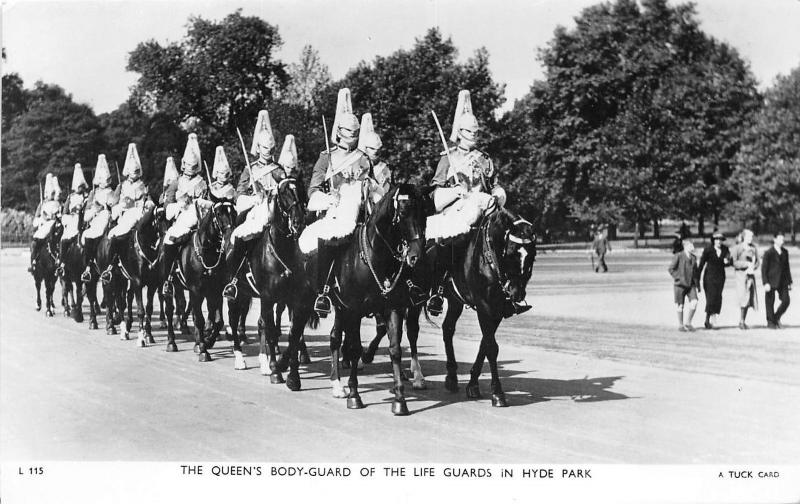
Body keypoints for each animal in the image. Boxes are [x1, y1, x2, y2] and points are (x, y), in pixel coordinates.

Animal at [163, 194, 236, 358]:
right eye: (219, 213)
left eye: (234, 212)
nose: (230, 237)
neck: (207, 252)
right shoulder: (196, 290)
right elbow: (200, 320)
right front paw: (203, 348)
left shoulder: (215, 290)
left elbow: (217, 321)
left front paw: (207, 340)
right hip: (167, 288)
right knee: (169, 311)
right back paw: (171, 342)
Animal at [225, 176, 316, 386]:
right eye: (283, 194)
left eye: (301, 190)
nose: (298, 223)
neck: (282, 250)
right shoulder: (267, 298)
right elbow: (273, 333)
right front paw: (276, 370)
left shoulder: (292, 300)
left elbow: (292, 334)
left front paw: (288, 369)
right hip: (236, 295)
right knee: (234, 320)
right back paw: (240, 359)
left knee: (260, 325)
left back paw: (263, 362)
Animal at [320, 183, 432, 416]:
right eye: (403, 212)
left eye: (425, 213)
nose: (417, 256)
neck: (375, 257)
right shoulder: (353, 310)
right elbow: (355, 348)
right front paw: (354, 395)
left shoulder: (393, 308)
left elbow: (395, 348)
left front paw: (400, 399)